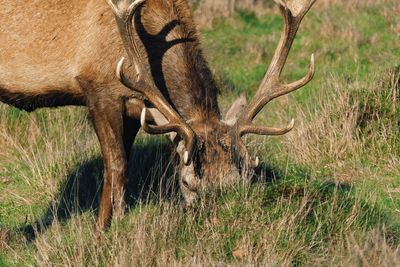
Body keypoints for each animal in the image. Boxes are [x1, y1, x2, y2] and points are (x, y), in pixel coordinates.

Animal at [0, 0, 316, 231]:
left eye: (242, 182)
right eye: (187, 183)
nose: (221, 225)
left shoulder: (134, 108)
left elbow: (118, 165)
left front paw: (103, 227)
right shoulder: (98, 88)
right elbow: (116, 164)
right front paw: (115, 227)